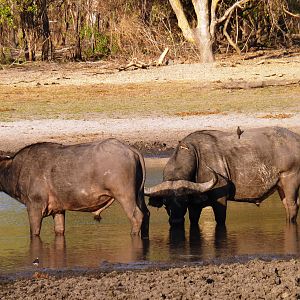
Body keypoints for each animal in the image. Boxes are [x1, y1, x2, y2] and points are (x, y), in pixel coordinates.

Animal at [0, 139, 150, 239]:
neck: (15, 170)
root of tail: (131, 150)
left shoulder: (34, 207)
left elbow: (34, 233)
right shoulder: (58, 210)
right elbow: (59, 230)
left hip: (125, 196)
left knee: (137, 216)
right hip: (139, 195)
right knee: (147, 213)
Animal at [144, 126, 298, 227]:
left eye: (184, 200)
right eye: (166, 202)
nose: (175, 221)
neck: (197, 158)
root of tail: (296, 139)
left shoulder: (221, 200)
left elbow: (220, 220)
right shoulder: (195, 205)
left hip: (291, 180)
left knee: (292, 206)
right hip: (280, 186)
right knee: (286, 206)